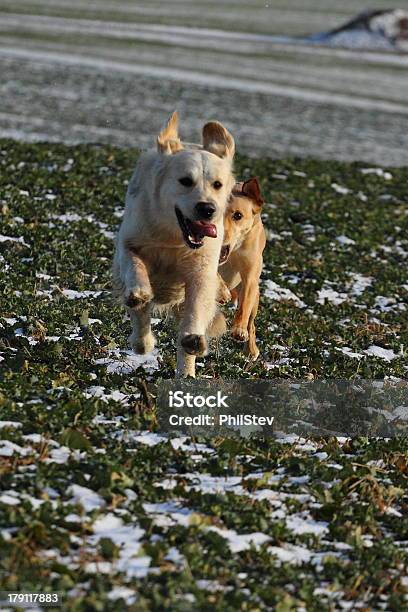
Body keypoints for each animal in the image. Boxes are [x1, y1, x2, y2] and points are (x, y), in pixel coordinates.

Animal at [113, 112, 234, 376]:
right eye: (185, 181)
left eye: (217, 184)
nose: (207, 209)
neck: (173, 237)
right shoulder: (129, 242)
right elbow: (135, 266)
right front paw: (139, 292)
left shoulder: (201, 268)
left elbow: (198, 304)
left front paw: (193, 339)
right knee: (140, 317)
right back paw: (142, 341)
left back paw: (186, 373)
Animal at [218, 177, 266, 358]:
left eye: (237, 215)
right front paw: (222, 291)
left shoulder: (250, 277)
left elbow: (244, 305)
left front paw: (239, 329)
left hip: (256, 297)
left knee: (251, 323)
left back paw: (251, 349)